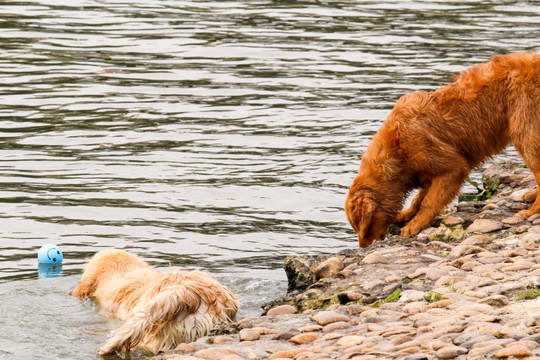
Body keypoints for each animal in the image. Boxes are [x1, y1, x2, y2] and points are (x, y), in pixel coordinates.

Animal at [346, 52, 540, 248]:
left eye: (363, 227)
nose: (363, 247)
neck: (397, 152)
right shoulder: (425, 170)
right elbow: (419, 198)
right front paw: (406, 214)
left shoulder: (448, 163)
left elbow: (430, 201)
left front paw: (413, 225)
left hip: (524, 126)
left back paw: (531, 211)